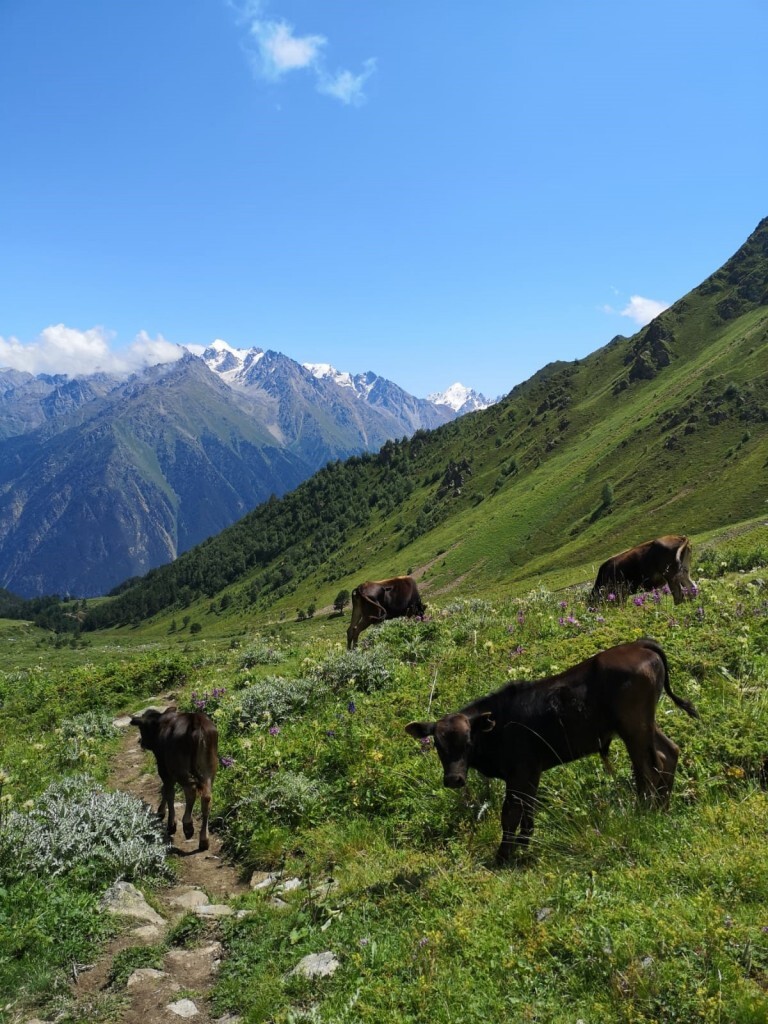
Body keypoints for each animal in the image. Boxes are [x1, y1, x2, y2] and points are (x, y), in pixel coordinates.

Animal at [131, 708, 218, 851]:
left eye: (142, 727)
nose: (141, 742)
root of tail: (195, 720)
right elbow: (165, 789)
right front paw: (161, 812)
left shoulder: (163, 766)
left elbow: (168, 791)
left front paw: (171, 823)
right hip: (209, 769)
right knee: (206, 797)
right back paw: (204, 840)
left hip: (179, 768)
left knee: (190, 790)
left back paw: (188, 826)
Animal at [405, 638, 700, 864]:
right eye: (438, 745)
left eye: (468, 741)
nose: (454, 779)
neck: (499, 725)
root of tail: (639, 644)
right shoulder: (530, 774)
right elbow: (527, 811)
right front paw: (522, 846)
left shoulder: (521, 771)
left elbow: (510, 813)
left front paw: (503, 856)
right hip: (645, 724)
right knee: (669, 753)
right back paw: (662, 810)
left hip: (633, 726)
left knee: (648, 768)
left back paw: (647, 812)